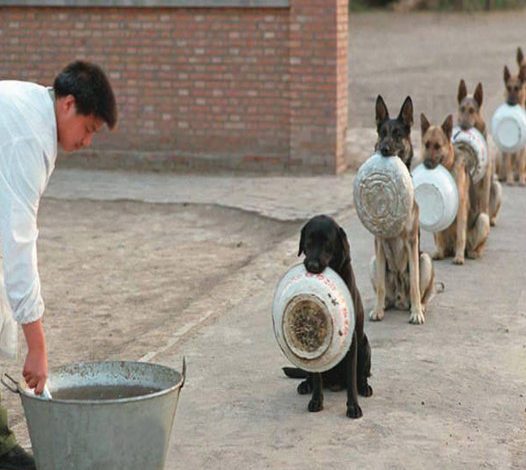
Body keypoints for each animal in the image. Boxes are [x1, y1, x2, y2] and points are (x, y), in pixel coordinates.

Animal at [282, 215, 374, 416]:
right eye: (308, 242)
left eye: (327, 244)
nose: (312, 265)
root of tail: (335, 383)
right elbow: (317, 379)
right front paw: (316, 401)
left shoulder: (352, 340)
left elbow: (352, 378)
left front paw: (353, 407)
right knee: (312, 376)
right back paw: (305, 385)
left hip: (365, 346)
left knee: (361, 376)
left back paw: (364, 387)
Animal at [420, 112, 490, 262]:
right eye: (426, 145)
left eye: (437, 146)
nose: (427, 164)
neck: (448, 167)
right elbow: (440, 234)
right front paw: (439, 252)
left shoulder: (461, 208)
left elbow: (460, 235)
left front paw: (459, 257)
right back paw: (443, 252)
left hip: (483, 219)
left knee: (475, 246)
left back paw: (471, 253)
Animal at [458, 80, 504, 227]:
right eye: (462, 109)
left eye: (472, 111)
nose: (463, 127)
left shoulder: (486, 178)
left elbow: (484, 201)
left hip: (496, 186)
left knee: (490, 210)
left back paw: (491, 219)